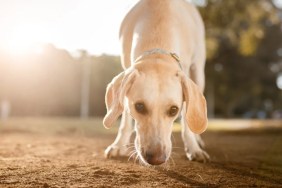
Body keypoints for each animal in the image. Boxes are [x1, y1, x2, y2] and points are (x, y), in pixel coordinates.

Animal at [102, 0, 208, 164]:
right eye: (139, 106)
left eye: (173, 110)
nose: (157, 159)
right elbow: (125, 119)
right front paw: (118, 145)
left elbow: (186, 121)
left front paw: (193, 147)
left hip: (198, 71)